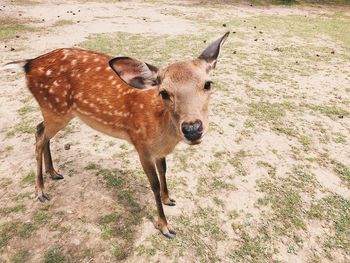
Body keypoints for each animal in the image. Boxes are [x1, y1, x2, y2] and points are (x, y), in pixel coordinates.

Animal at [2, 32, 231, 238]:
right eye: (164, 92)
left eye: (208, 83)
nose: (192, 128)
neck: (162, 132)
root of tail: (28, 64)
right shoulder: (141, 146)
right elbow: (154, 185)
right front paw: (165, 226)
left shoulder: (158, 151)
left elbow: (164, 171)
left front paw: (169, 199)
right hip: (55, 109)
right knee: (39, 135)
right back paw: (40, 191)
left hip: (56, 112)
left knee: (41, 130)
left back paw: (53, 172)